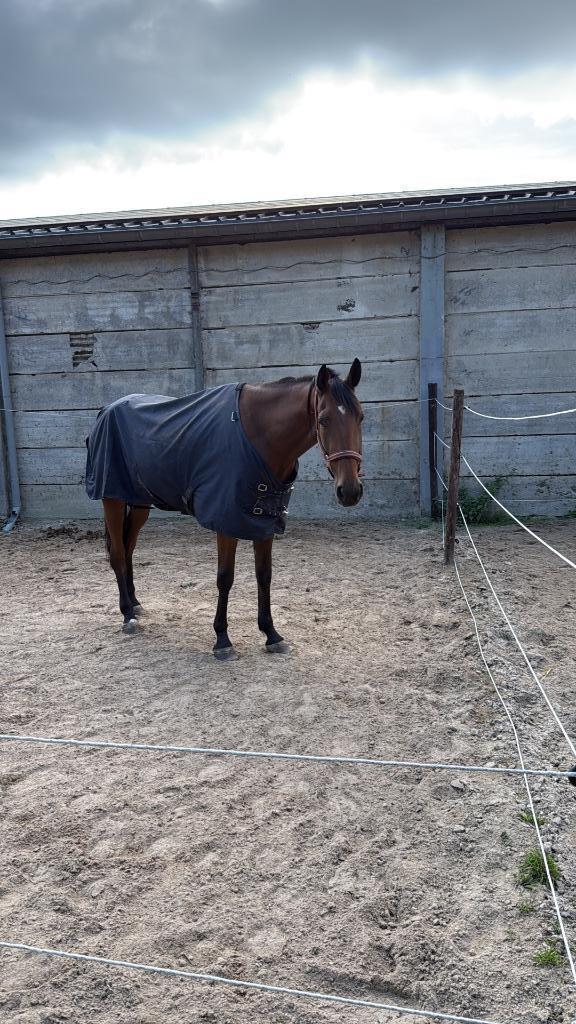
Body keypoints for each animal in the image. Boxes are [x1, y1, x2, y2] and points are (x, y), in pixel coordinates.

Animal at [85, 359, 364, 660]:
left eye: (360, 417)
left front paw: (271, 634)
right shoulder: (225, 522)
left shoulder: (264, 521)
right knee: (117, 554)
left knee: (128, 549)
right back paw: (127, 615)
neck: (257, 436)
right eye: (323, 419)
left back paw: (135, 603)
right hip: (112, 499)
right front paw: (222, 639)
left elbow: (264, 576)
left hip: (138, 502)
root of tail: (106, 410)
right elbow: (225, 578)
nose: (350, 491)